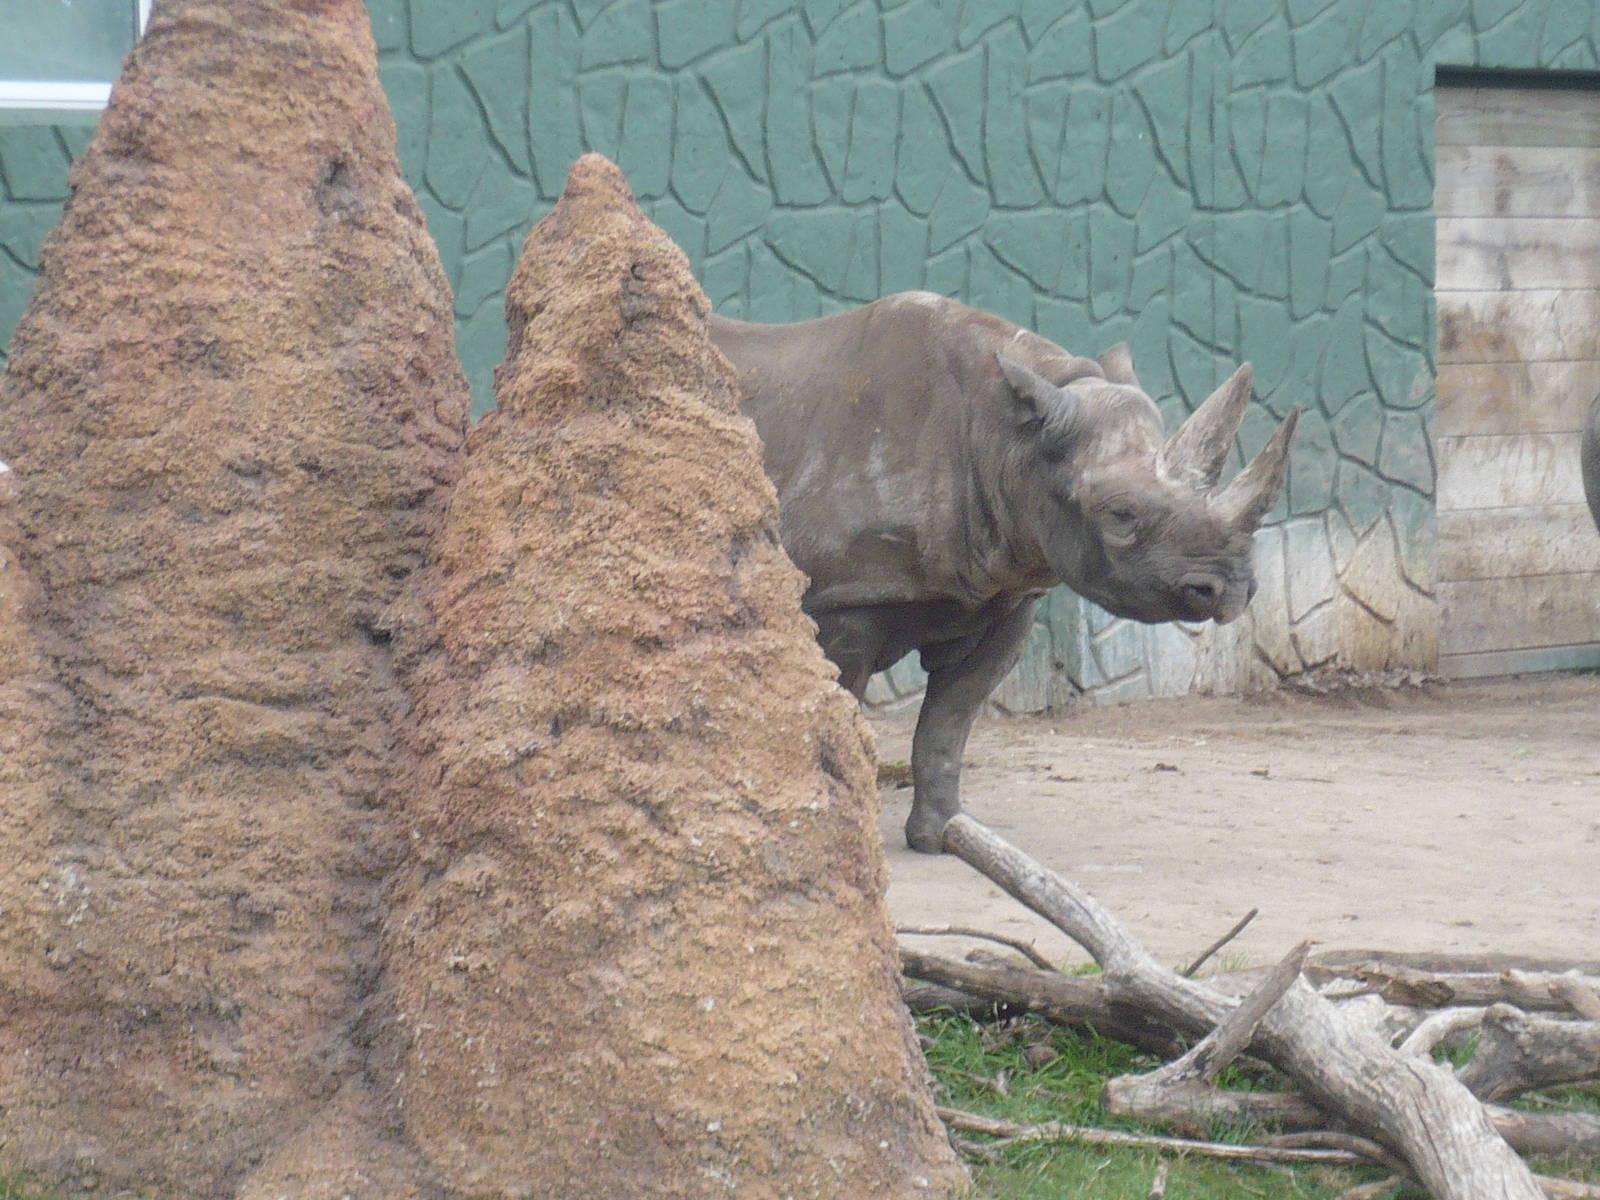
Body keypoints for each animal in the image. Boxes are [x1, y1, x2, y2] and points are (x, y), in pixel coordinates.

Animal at [709, 292, 1298, 853]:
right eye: (1120, 515)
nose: (1229, 591)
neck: (1006, 440)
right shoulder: (846, 597)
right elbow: (839, 712)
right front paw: (841, 824)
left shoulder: (1004, 591)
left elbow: (949, 725)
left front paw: (942, 835)